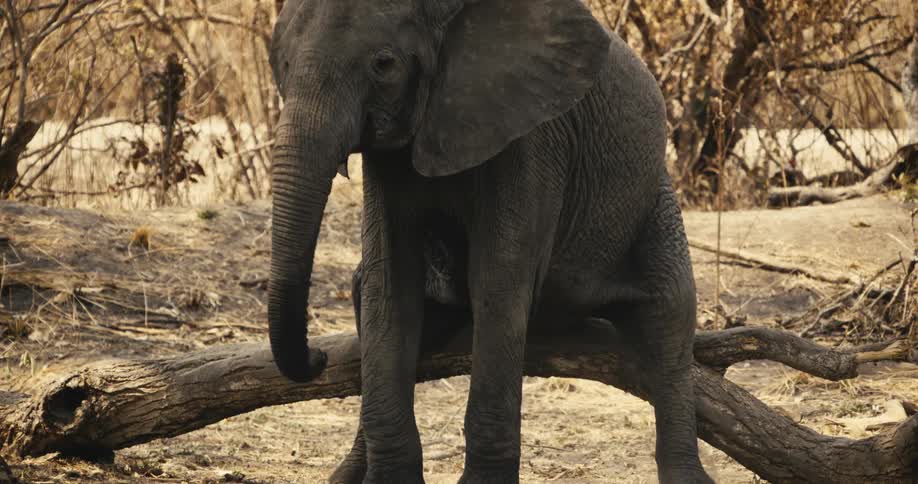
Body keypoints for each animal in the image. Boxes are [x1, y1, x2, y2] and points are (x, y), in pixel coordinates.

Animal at [266, 0, 713, 483]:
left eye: (383, 65)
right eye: (283, 65)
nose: (316, 358)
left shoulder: (531, 138)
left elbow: (497, 287)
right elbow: (388, 289)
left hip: (653, 201)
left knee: (669, 319)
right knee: (361, 288)